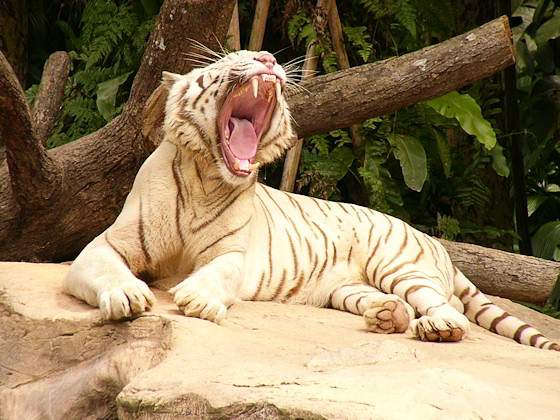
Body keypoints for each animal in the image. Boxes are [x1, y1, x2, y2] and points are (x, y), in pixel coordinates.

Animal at [63, 49, 560, 352]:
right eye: (231, 59)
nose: (266, 57)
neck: (205, 177)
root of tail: (435, 241)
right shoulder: (103, 245)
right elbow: (107, 267)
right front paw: (127, 294)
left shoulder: (234, 254)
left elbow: (217, 273)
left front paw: (198, 299)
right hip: (348, 287)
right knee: (389, 302)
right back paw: (386, 316)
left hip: (400, 265)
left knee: (451, 310)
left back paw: (434, 327)